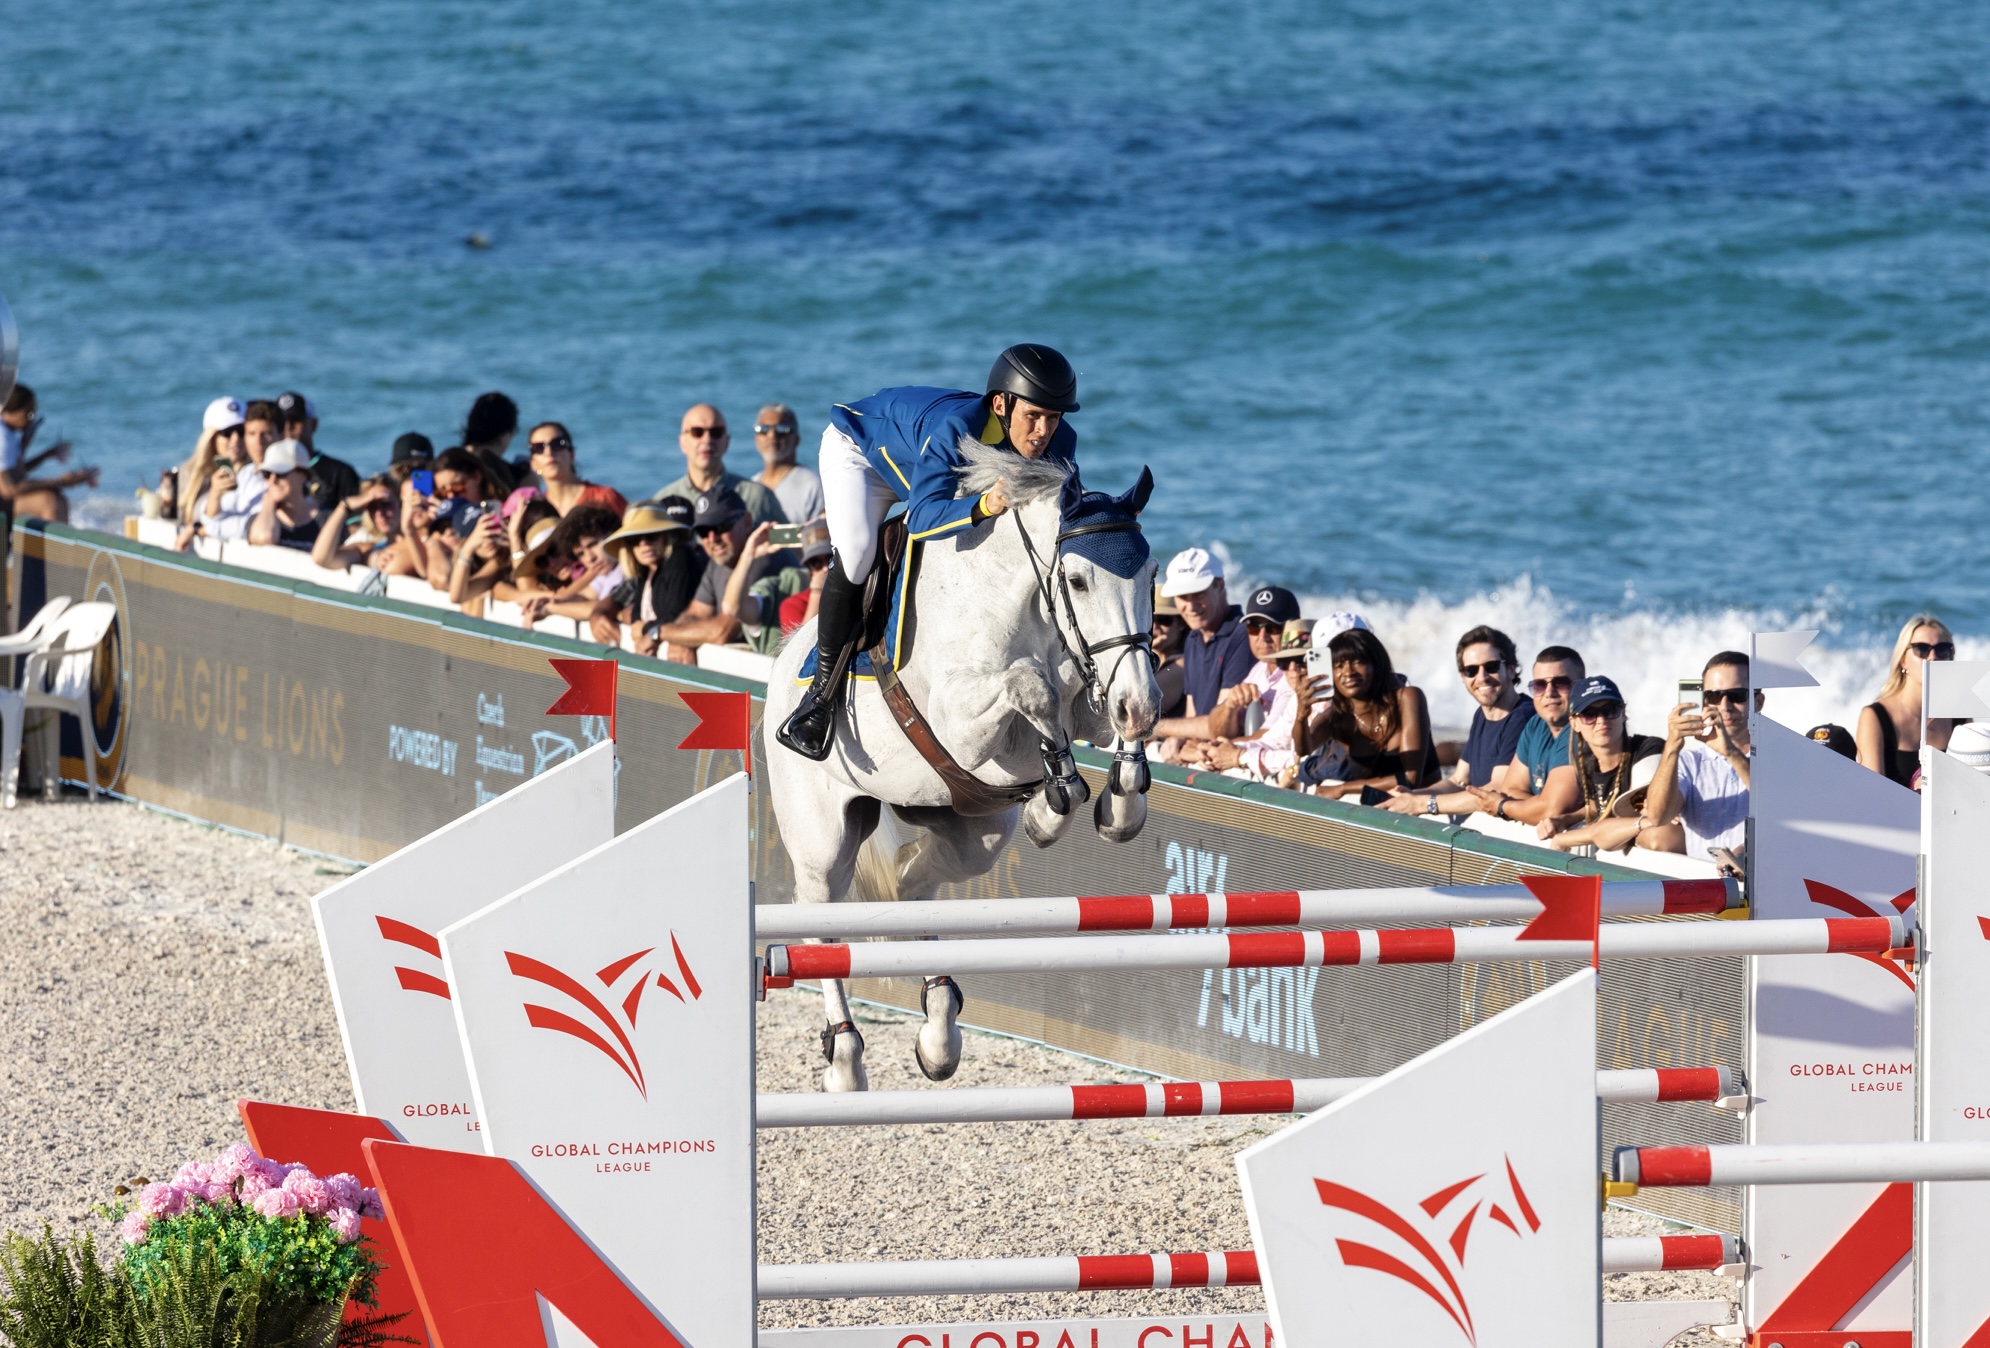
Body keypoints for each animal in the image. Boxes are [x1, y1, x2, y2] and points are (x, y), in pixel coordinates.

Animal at [760, 444, 1162, 1091]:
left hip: (970, 828)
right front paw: (1057, 796)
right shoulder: (964, 725)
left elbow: (1095, 709)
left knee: (912, 887)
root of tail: (781, 660)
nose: (1142, 705)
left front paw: (1110, 803)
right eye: (1077, 580)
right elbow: (1033, 687)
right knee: (820, 922)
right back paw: (845, 1061)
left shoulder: (1092, 689)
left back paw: (938, 1035)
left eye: (1151, 576)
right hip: (824, 841)